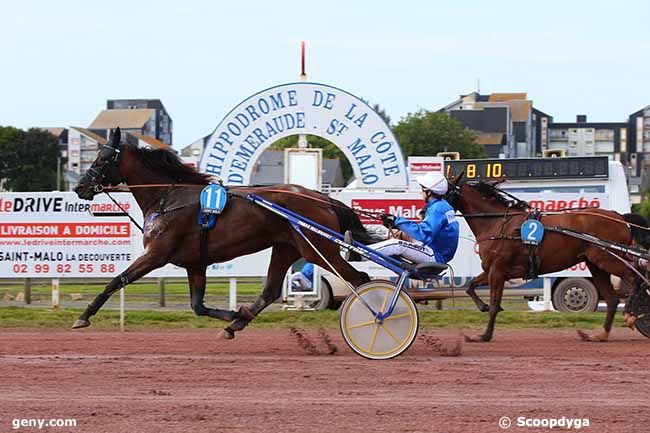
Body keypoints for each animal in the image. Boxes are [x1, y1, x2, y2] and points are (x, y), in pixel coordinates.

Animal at [71, 128, 370, 338]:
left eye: (101, 158)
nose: (79, 187)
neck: (169, 197)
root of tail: (323, 198)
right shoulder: (194, 263)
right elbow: (198, 306)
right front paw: (236, 314)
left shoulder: (156, 254)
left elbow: (115, 281)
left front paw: (84, 316)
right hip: (286, 248)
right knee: (270, 291)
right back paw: (235, 324)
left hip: (318, 249)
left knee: (360, 278)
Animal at [442, 176, 644, 340]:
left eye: (442, 191)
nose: (430, 207)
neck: (498, 223)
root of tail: (620, 217)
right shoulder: (493, 270)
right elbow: (470, 286)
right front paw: (482, 307)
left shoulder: (498, 270)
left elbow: (493, 303)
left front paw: (485, 335)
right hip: (596, 264)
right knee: (612, 299)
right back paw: (599, 335)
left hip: (607, 259)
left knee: (634, 278)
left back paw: (630, 316)